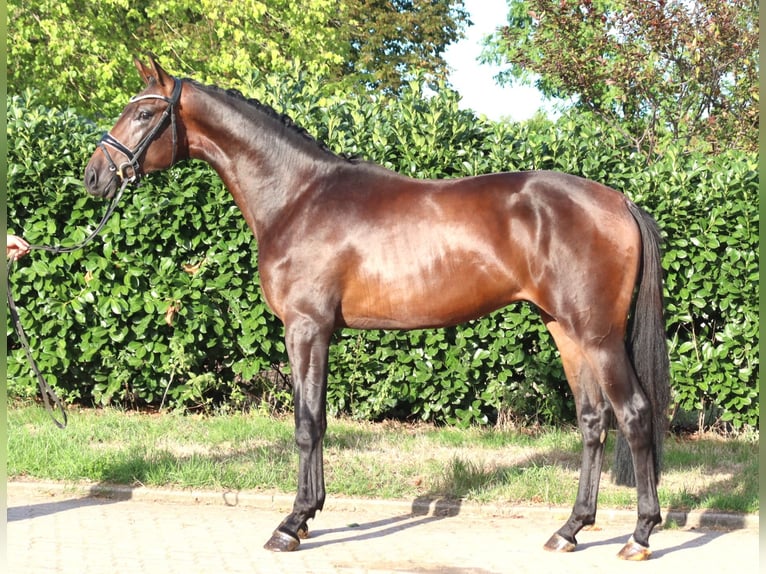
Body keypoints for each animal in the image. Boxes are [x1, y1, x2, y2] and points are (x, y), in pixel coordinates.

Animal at [84, 57, 670, 560]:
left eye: (144, 113)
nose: (95, 177)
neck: (297, 196)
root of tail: (619, 201)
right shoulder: (319, 331)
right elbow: (318, 420)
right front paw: (308, 515)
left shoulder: (306, 329)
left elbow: (307, 422)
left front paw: (291, 524)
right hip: (565, 330)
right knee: (592, 421)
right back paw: (570, 530)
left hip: (598, 336)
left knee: (635, 416)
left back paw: (639, 535)